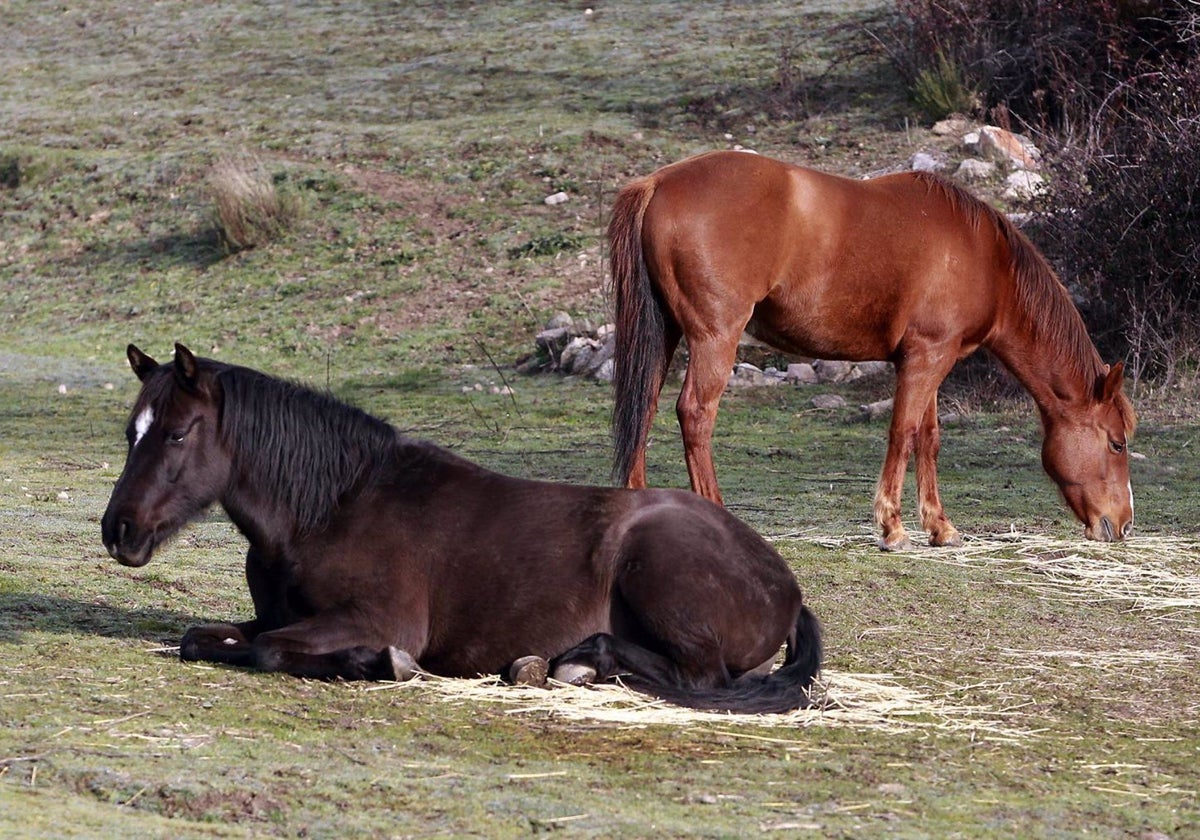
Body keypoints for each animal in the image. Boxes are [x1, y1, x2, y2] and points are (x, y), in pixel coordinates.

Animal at [100, 345, 825, 710]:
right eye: (133, 429)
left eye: (178, 432)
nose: (119, 530)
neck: (334, 506)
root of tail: (786, 585)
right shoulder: (274, 614)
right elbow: (206, 639)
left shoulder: (377, 618)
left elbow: (272, 651)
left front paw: (383, 665)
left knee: (702, 679)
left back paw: (571, 663)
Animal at [609, 149, 1132, 552]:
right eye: (1117, 442)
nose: (1123, 524)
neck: (986, 259)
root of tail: (657, 183)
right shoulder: (925, 359)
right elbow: (903, 433)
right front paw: (893, 528)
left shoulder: (932, 361)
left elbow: (929, 437)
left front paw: (940, 526)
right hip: (715, 337)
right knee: (695, 414)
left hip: (665, 335)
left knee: (645, 408)